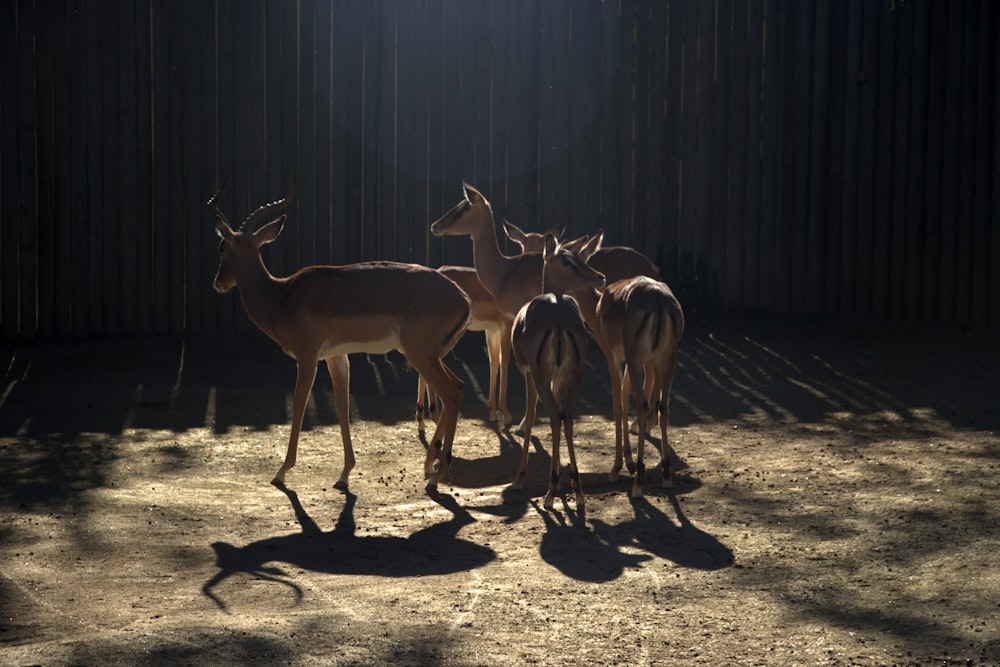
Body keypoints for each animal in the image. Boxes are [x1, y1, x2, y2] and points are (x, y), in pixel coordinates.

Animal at [208, 175, 472, 494]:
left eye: (222, 247)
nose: (218, 282)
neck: (281, 296)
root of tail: (464, 299)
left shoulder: (307, 356)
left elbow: (299, 405)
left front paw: (282, 471)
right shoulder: (336, 356)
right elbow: (342, 406)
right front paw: (345, 474)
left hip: (420, 355)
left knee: (451, 395)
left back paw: (435, 475)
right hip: (431, 355)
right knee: (458, 388)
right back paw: (430, 466)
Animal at [512, 235, 604, 512]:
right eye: (567, 261)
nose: (600, 277)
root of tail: (560, 320)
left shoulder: (529, 374)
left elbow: (530, 416)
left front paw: (519, 479)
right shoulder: (560, 378)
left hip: (542, 377)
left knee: (554, 415)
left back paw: (550, 494)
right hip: (575, 376)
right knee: (567, 416)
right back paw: (577, 490)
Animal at [596, 274, 684, 498]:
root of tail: (657, 300)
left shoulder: (613, 357)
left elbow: (618, 405)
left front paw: (616, 468)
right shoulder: (649, 360)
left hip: (637, 359)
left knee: (642, 405)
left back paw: (638, 481)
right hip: (667, 359)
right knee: (664, 406)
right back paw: (666, 475)